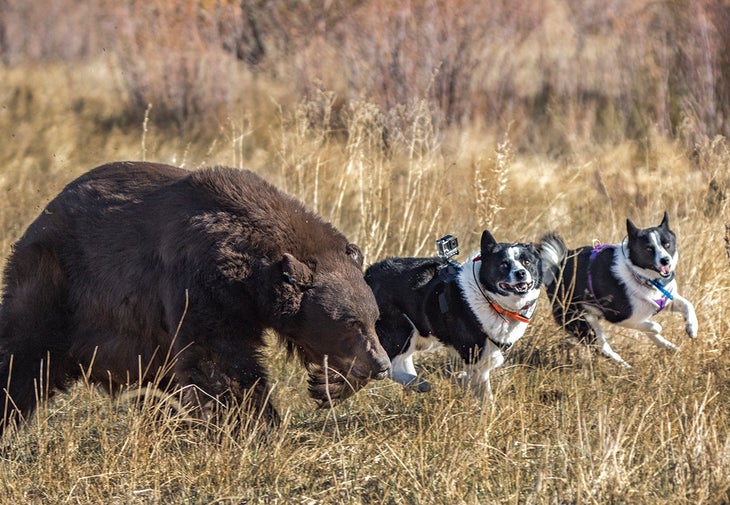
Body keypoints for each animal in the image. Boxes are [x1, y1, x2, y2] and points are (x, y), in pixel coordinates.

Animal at [0, 162, 390, 434]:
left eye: (373, 318)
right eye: (350, 322)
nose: (382, 364)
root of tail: (42, 215)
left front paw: (329, 385)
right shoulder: (202, 280)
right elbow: (219, 355)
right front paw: (254, 421)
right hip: (59, 281)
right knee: (23, 350)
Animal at [364, 230, 540, 400]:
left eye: (527, 262)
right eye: (503, 264)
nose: (521, 273)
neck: (490, 300)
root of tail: (368, 274)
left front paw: (461, 378)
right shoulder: (476, 359)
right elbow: (486, 399)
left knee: (403, 360)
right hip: (403, 329)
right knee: (389, 365)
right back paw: (420, 383)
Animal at [536, 210, 696, 366]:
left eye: (667, 244)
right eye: (649, 249)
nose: (665, 260)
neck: (640, 276)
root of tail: (556, 270)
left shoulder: (664, 299)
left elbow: (688, 305)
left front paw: (692, 328)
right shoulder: (619, 316)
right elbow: (654, 326)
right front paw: (655, 328)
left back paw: (668, 346)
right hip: (582, 322)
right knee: (603, 348)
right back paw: (625, 366)